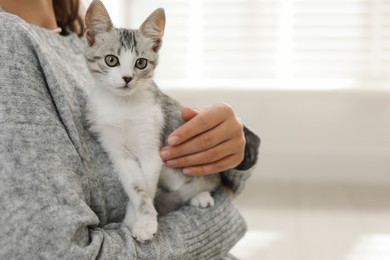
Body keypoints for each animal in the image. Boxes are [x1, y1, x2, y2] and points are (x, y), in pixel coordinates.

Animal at [84, 0, 221, 244]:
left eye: (140, 63)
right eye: (111, 60)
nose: (127, 78)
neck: (123, 105)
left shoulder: (152, 147)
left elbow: (146, 186)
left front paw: (143, 223)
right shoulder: (117, 151)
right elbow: (136, 188)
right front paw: (136, 220)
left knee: (208, 184)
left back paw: (202, 196)